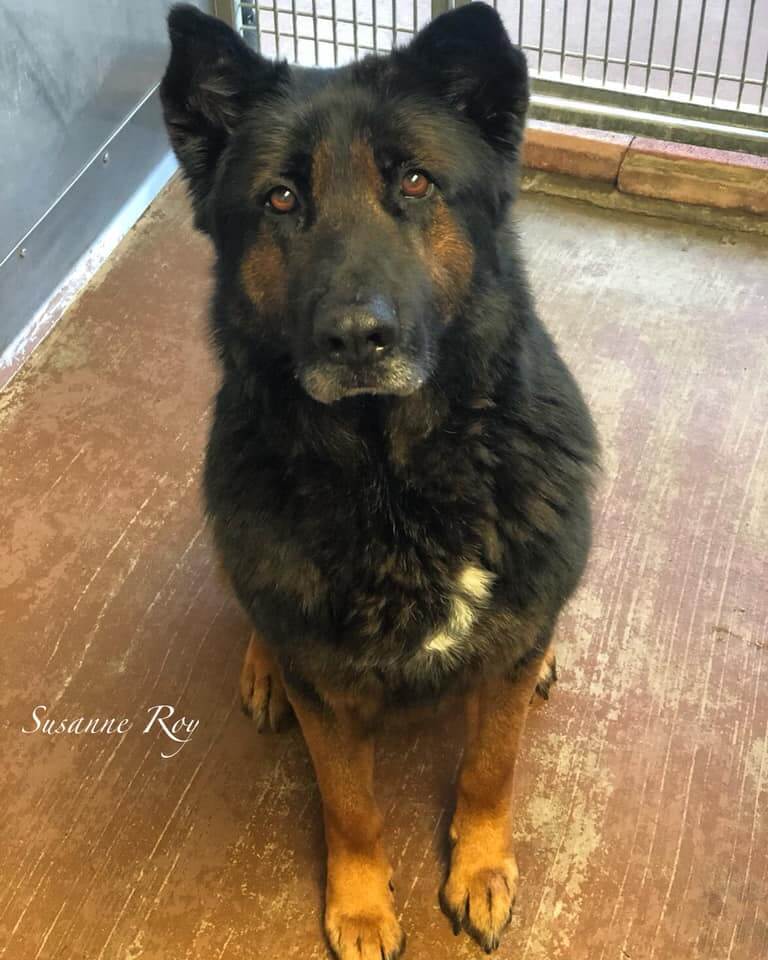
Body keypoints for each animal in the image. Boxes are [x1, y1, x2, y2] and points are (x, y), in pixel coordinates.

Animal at [159, 3, 596, 956]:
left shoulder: (501, 668)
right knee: (258, 615)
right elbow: (349, 804)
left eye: (417, 184)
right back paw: (263, 668)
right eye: (281, 199)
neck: (396, 483)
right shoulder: (327, 690)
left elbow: (491, 766)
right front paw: (360, 904)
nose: (357, 338)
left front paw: (480, 867)